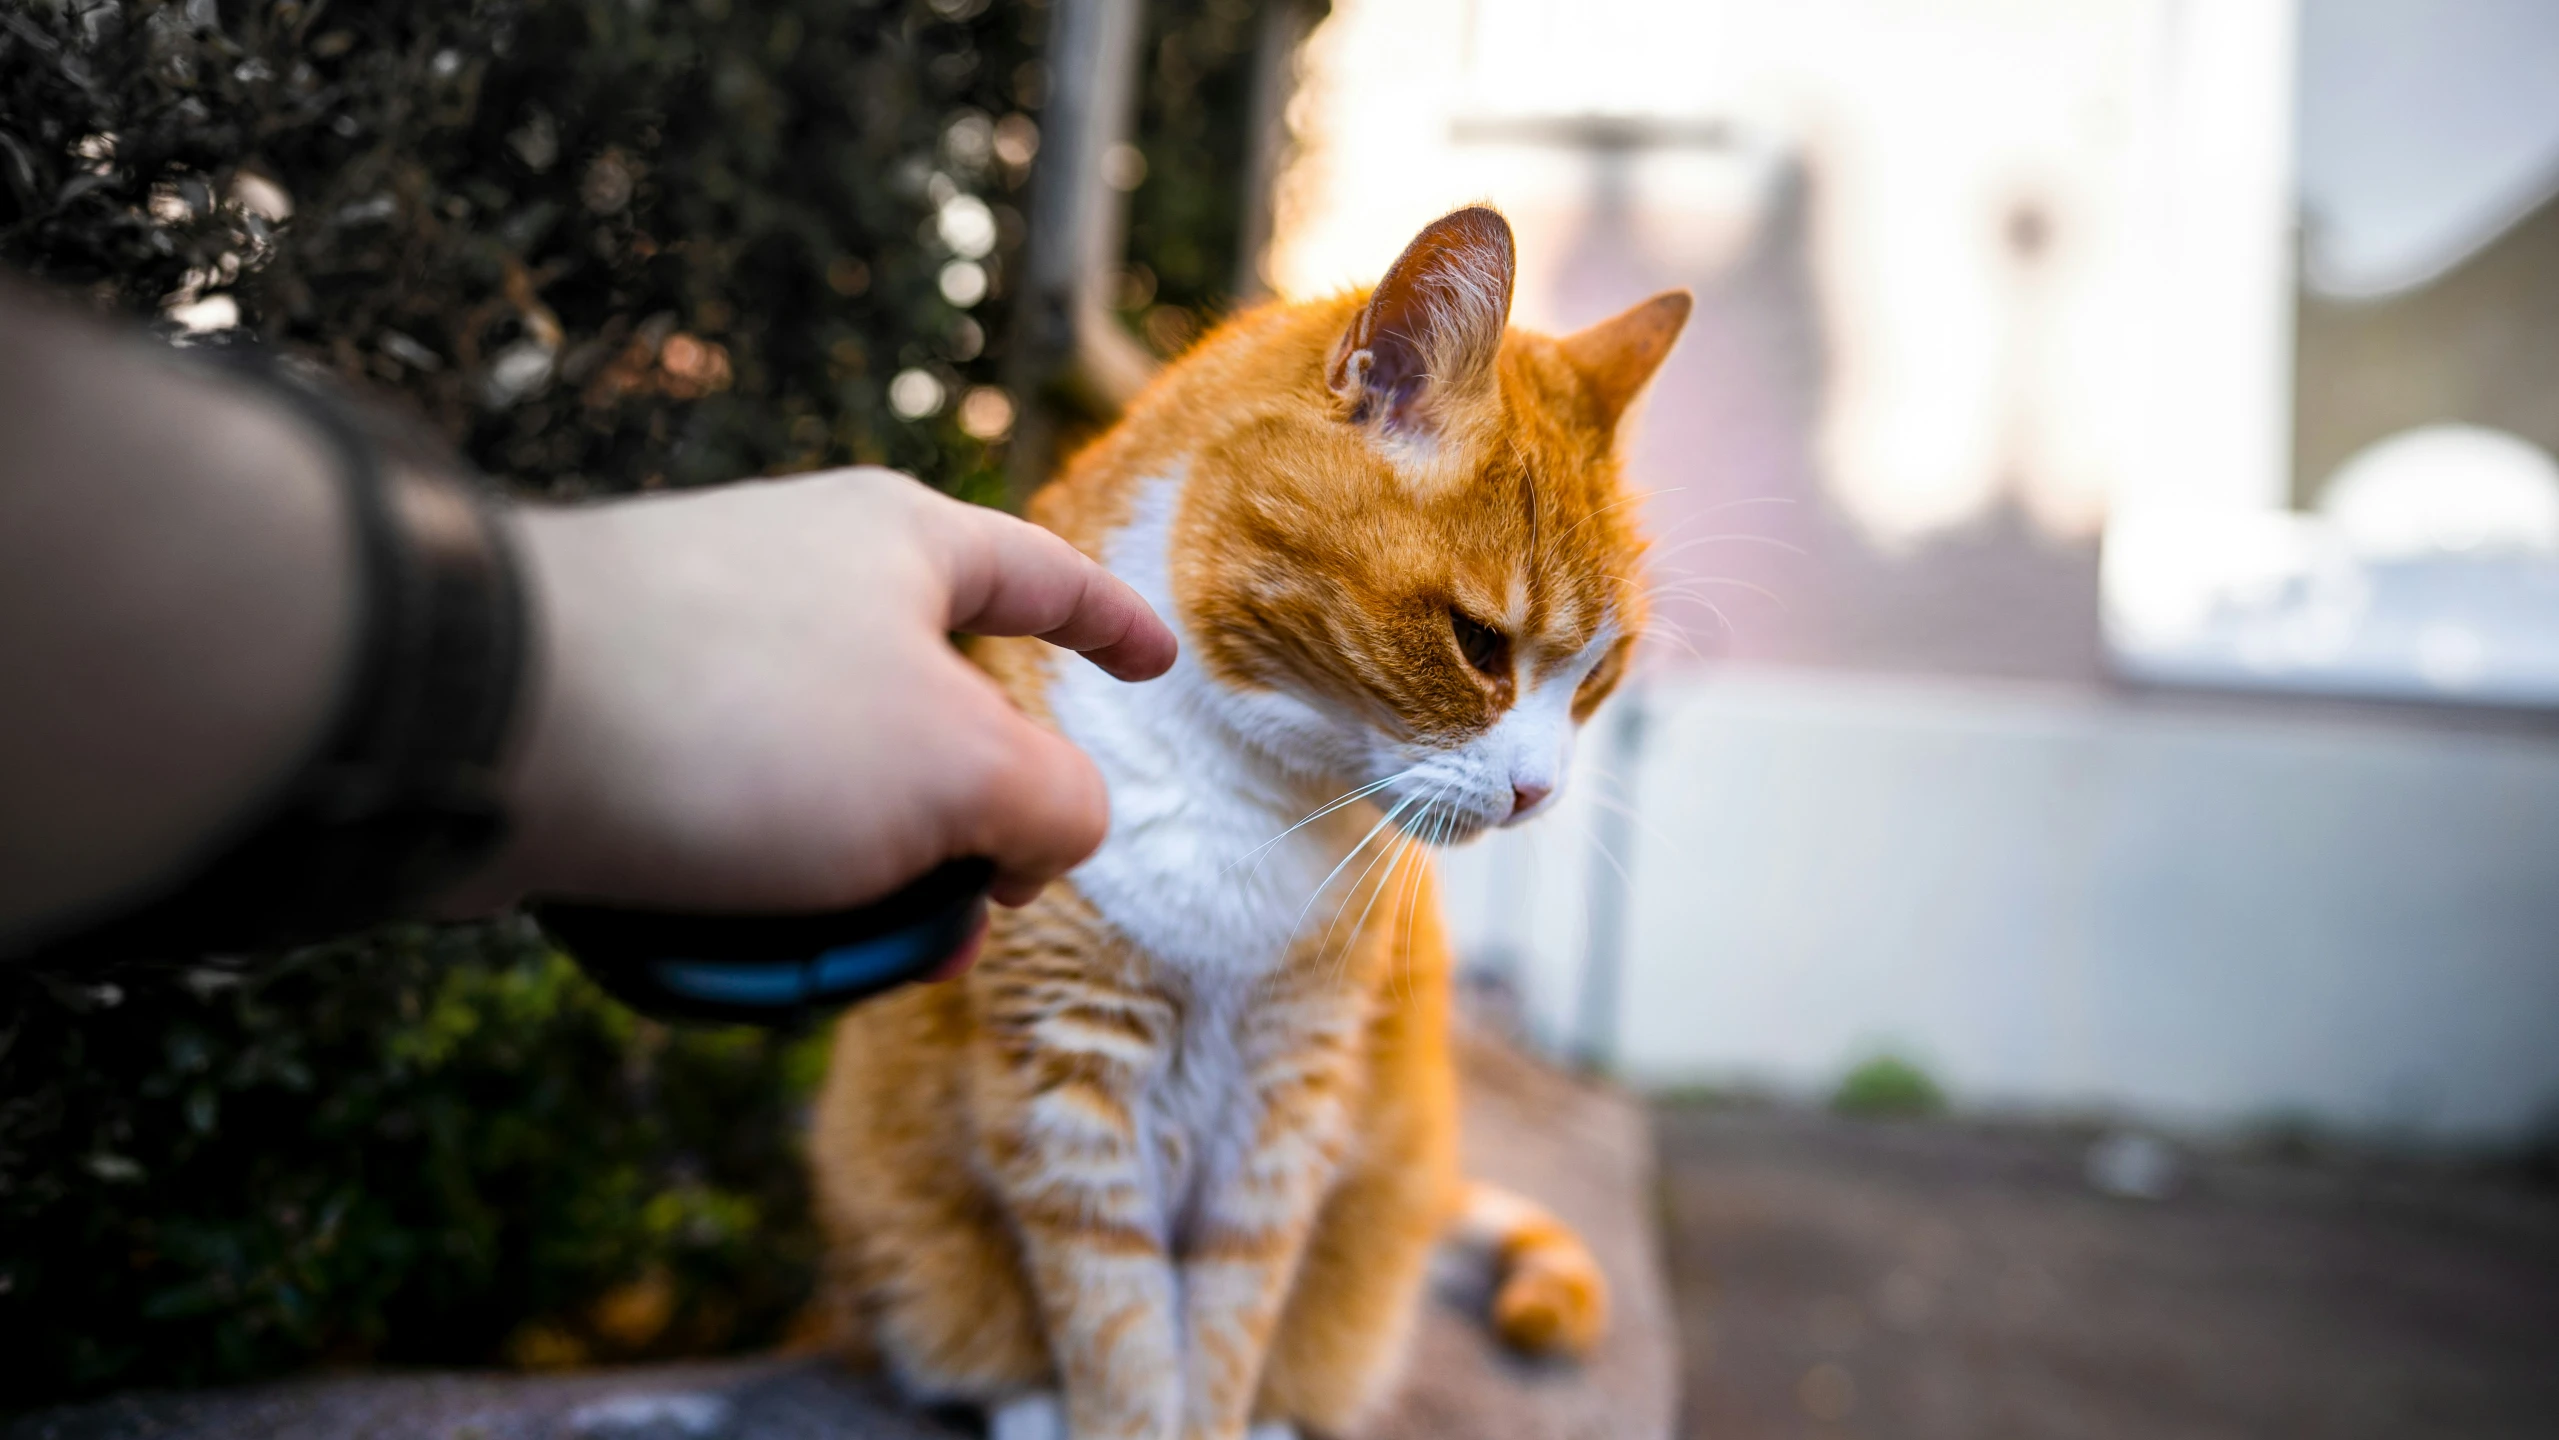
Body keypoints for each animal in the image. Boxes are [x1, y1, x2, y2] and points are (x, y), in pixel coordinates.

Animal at [813, 205, 1678, 1440]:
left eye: (1598, 676)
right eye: (1478, 644)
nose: (1538, 791)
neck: (1246, 791)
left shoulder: (1285, 1106)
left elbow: (1227, 1331)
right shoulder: (1069, 1084)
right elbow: (1120, 1345)